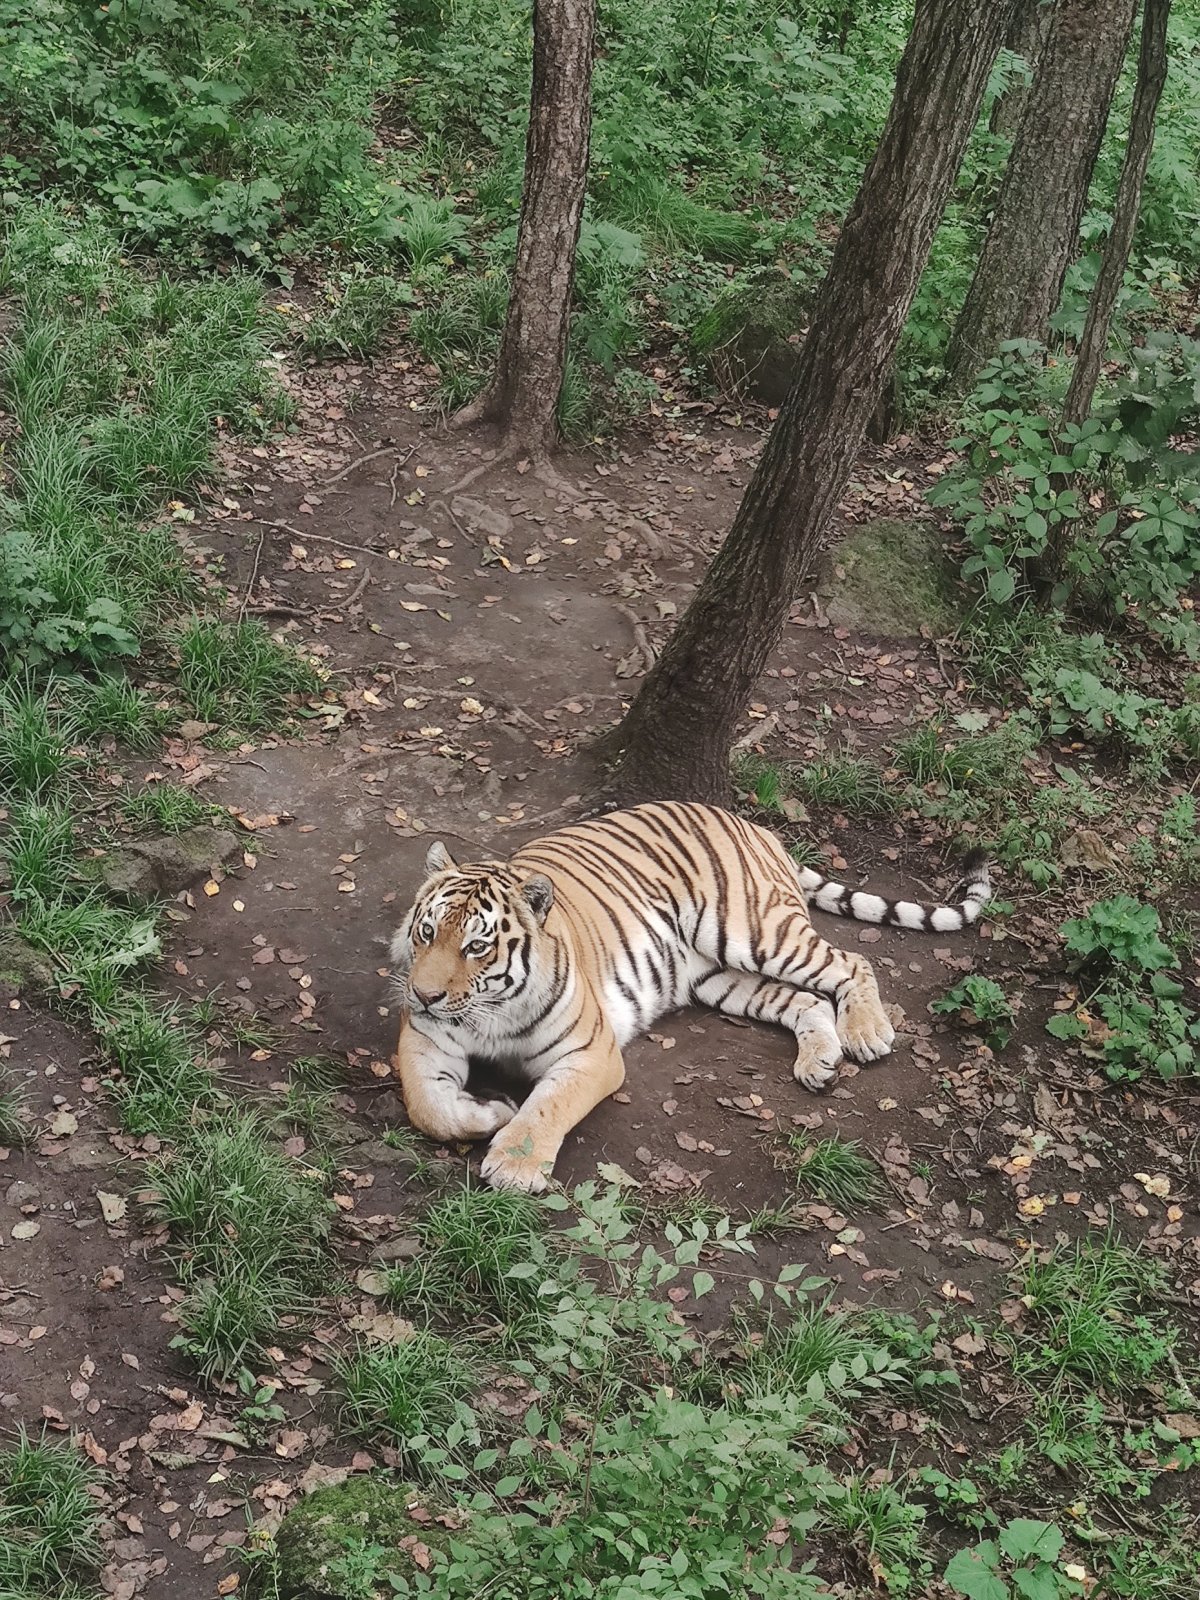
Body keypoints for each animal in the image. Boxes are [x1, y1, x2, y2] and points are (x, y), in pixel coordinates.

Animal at [390, 800, 992, 1190]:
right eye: (427, 932)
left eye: (477, 947)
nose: (423, 994)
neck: (490, 1010)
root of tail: (753, 824)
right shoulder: (424, 1038)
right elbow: (429, 1107)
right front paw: (491, 1111)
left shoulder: (590, 1054)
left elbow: (548, 1104)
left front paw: (514, 1166)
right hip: (718, 977)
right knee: (807, 1000)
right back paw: (818, 1063)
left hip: (754, 933)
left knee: (850, 962)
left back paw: (866, 1035)